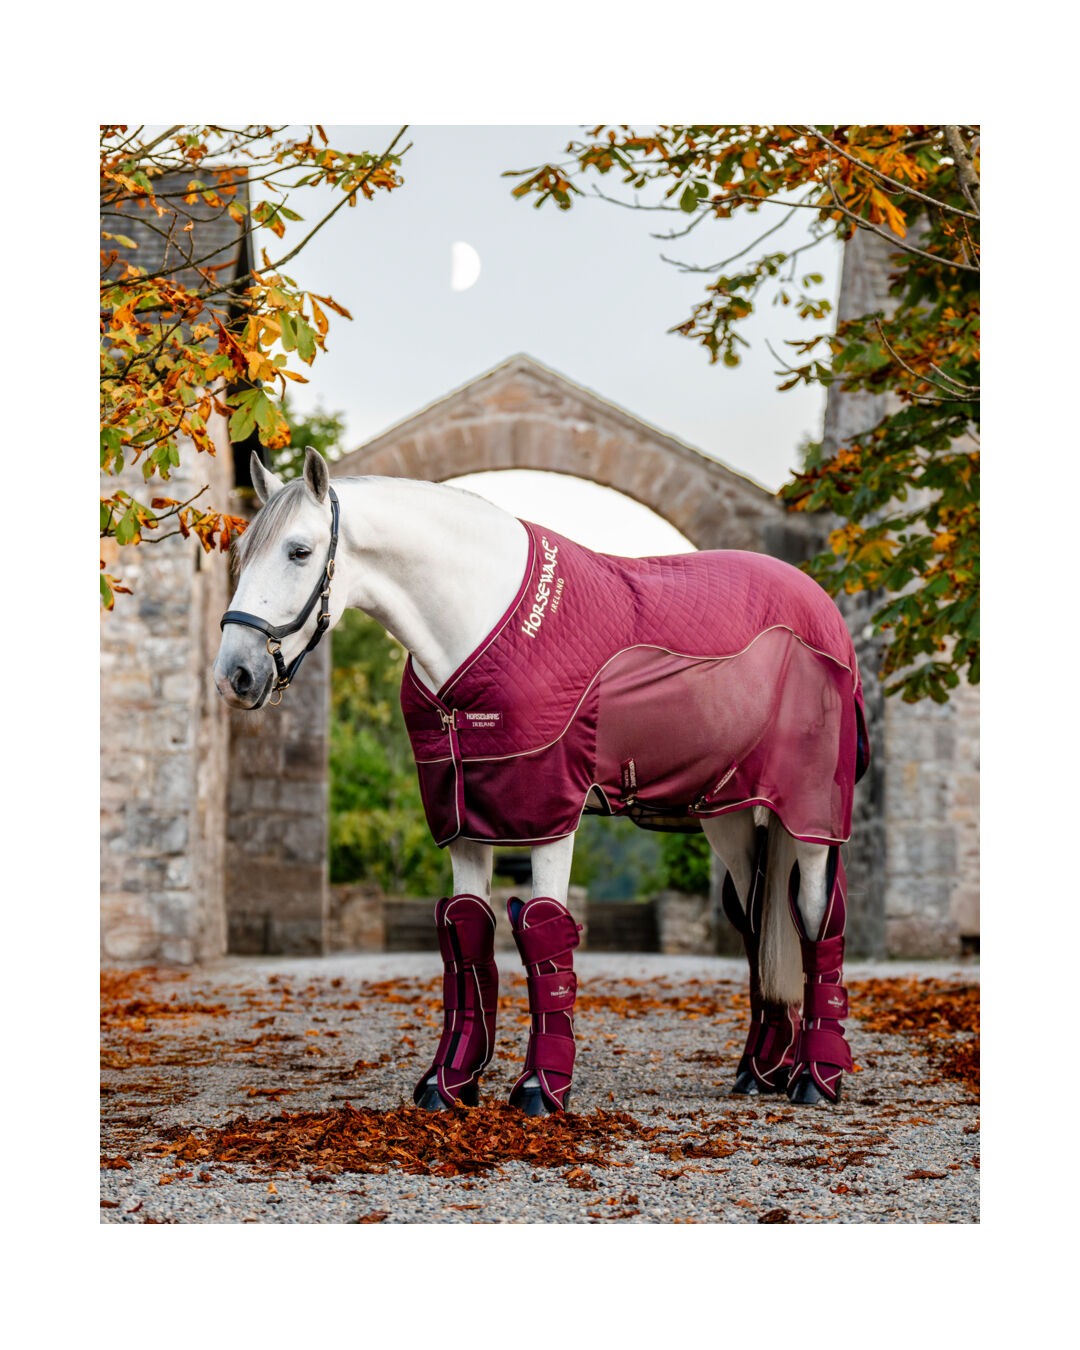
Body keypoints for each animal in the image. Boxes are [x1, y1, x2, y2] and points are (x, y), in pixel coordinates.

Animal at [214, 447, 869, 1116]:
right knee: (756, 919)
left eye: (299, 550)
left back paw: (815, 1076)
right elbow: (467, 934)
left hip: (810, 813)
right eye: (240, 552)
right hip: (730, 813)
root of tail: (820, 606)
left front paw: (540, 1087)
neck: (476, 629)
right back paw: (759, 1070)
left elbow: (545, 934)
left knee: (814, 918)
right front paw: (448, 1083)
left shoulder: (549, 812)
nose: (235, 675)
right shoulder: (463, 820)